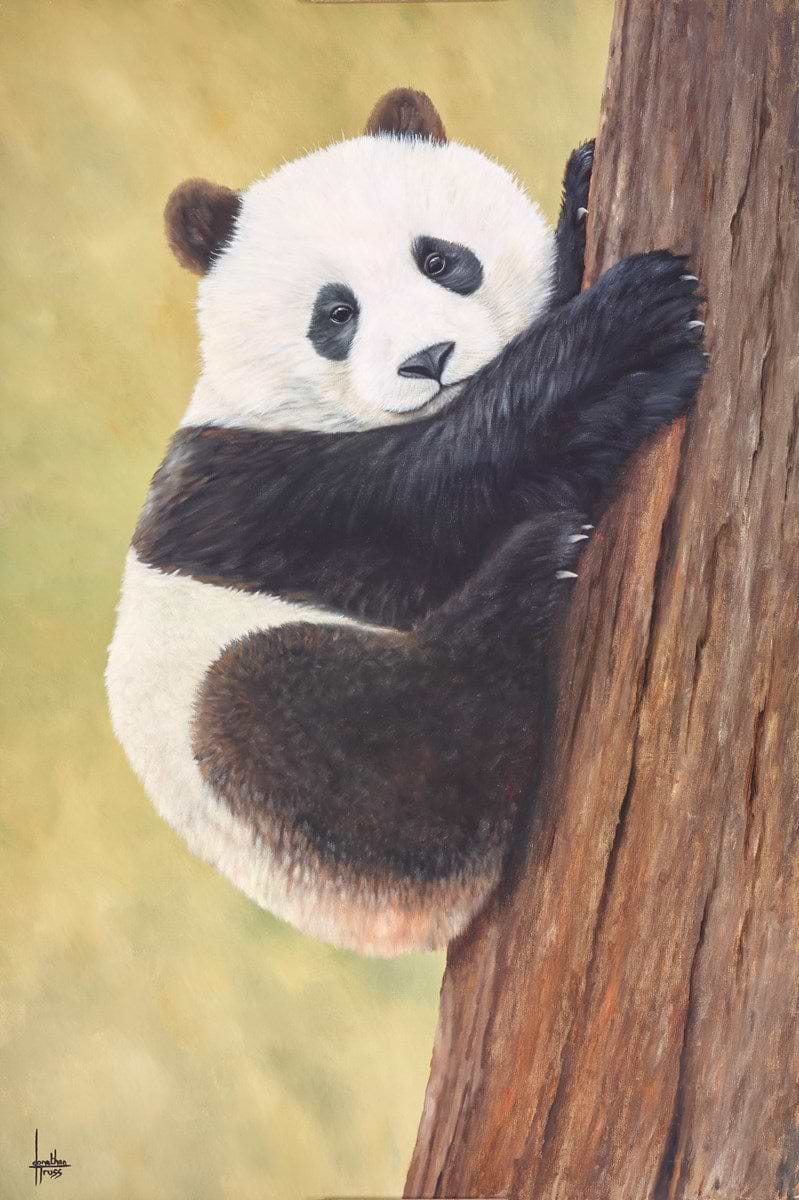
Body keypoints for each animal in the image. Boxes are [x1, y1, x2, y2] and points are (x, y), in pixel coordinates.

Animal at [106, 88, 706, 956]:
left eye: (440, 260)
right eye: (336, 312)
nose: (429, 359)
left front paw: (583, 196)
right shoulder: (244, 493)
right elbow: (430, 503)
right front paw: (634, 330)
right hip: (280, 785)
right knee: (331, 723)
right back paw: (525, 577)